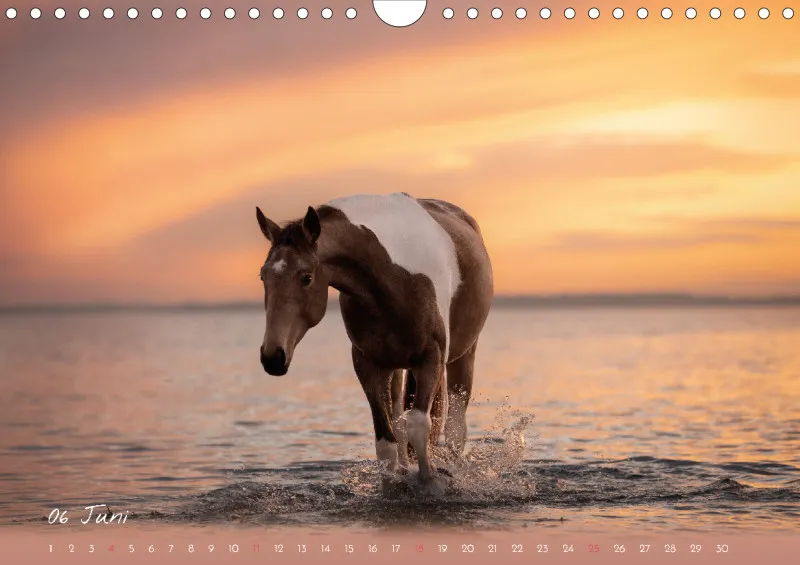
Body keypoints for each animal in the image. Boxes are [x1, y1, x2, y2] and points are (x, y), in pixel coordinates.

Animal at [255, 192, 493, 495]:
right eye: (263, 276)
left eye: (306, 277)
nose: (273, 357)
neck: (392, 277)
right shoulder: (368, 364)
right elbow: (385, 439)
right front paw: (392, 484)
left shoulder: (432, 359)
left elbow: (419, 425)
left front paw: (431, 482)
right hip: (396, 366)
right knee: (399, 417)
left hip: (463, 355)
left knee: (454, 426)